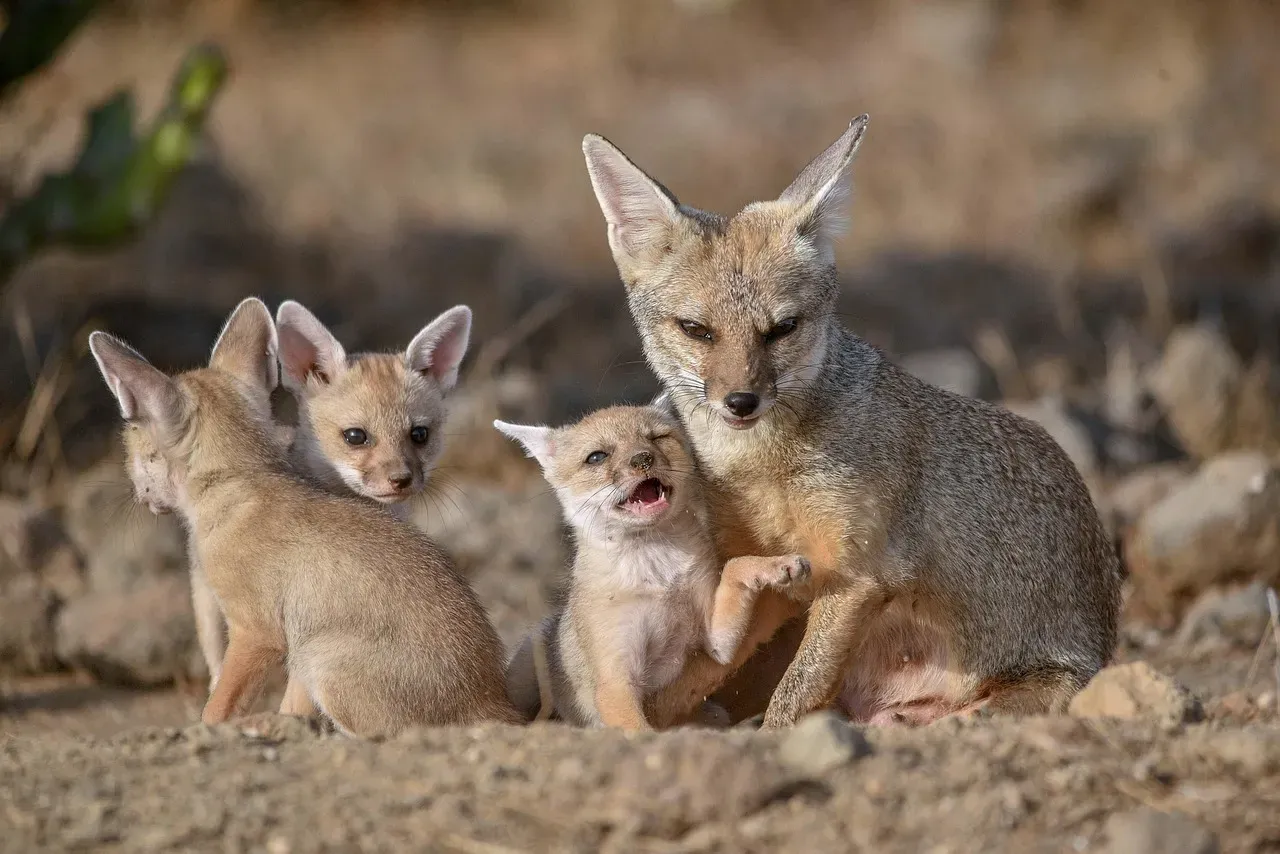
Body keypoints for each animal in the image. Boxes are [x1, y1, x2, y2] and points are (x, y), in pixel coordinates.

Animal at [89, 298, 522, 735]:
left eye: (133, 451)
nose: (137, 493)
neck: (246, 479)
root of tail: (495, 700)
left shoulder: (257, 632)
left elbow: (217, 709)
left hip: (318, 658)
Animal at [495, 404, 810, 729]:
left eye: (658, 438)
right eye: (596, 457)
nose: (643, 459)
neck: (657, 572)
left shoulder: (717, 646)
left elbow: (736, 565)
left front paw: (778, 565)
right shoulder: (615, 682)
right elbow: (640, 730)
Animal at [580, 116, 1122, 729]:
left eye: (783, 329)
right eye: (697, 330)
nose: (741, 401)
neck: (763, 471)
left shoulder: (857, 576)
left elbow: (792, 695)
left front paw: (770, 737)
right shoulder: (775, 585)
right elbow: (706, 665)